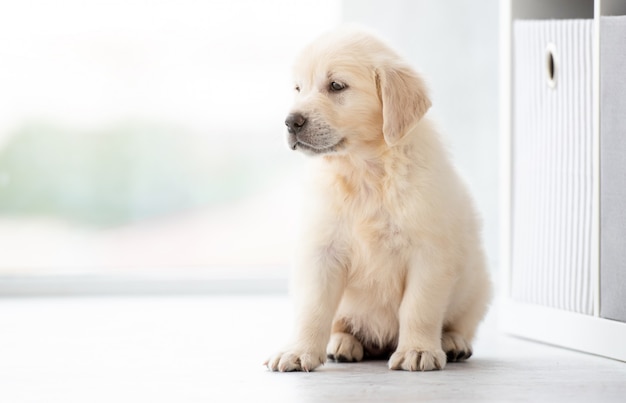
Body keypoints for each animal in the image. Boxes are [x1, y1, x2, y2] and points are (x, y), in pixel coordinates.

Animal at [264, 27, 488, 372]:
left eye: (336, 86)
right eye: (298, 88)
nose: (291, 122)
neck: (364, 171)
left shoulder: (429, 253)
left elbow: (418, 307)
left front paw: (417, 350)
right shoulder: (322, 252)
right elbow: (313, 309)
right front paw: (299, 351)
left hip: (477, 287)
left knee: (461, 322)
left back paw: (452, 342)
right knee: (342, 324)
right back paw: (341, 343)